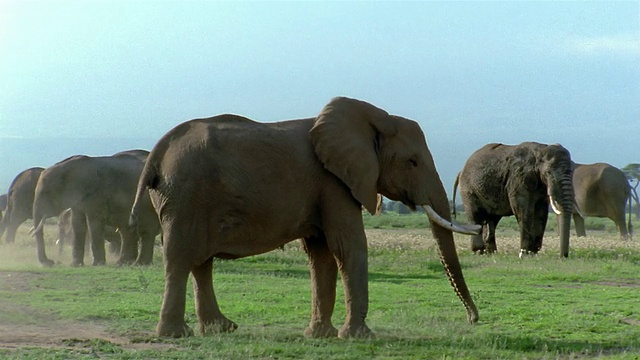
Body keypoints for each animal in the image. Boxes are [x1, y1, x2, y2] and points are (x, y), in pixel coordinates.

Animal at [30, 150, 160, 266]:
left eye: (47, 193)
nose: (51, 262)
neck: (67, 166)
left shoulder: (97, 194)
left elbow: (94, 222)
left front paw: (97, 264)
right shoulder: (78, 199)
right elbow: (77, 224)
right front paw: (76, 265)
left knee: (145, 230)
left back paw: (138, 264)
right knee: (127, 230)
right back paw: (123, 263)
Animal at [127, 97, 480, 338]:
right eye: (412, 162)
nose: (473, 319)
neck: (373, 118)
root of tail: (157, 151)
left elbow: (321, 254)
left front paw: (320, 336)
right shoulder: (335, 183)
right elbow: (349, 245)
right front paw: (358, 337)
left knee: (201, 262)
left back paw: (222, 328)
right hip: (185, 196)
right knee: (180, 258)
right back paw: (176, 335)